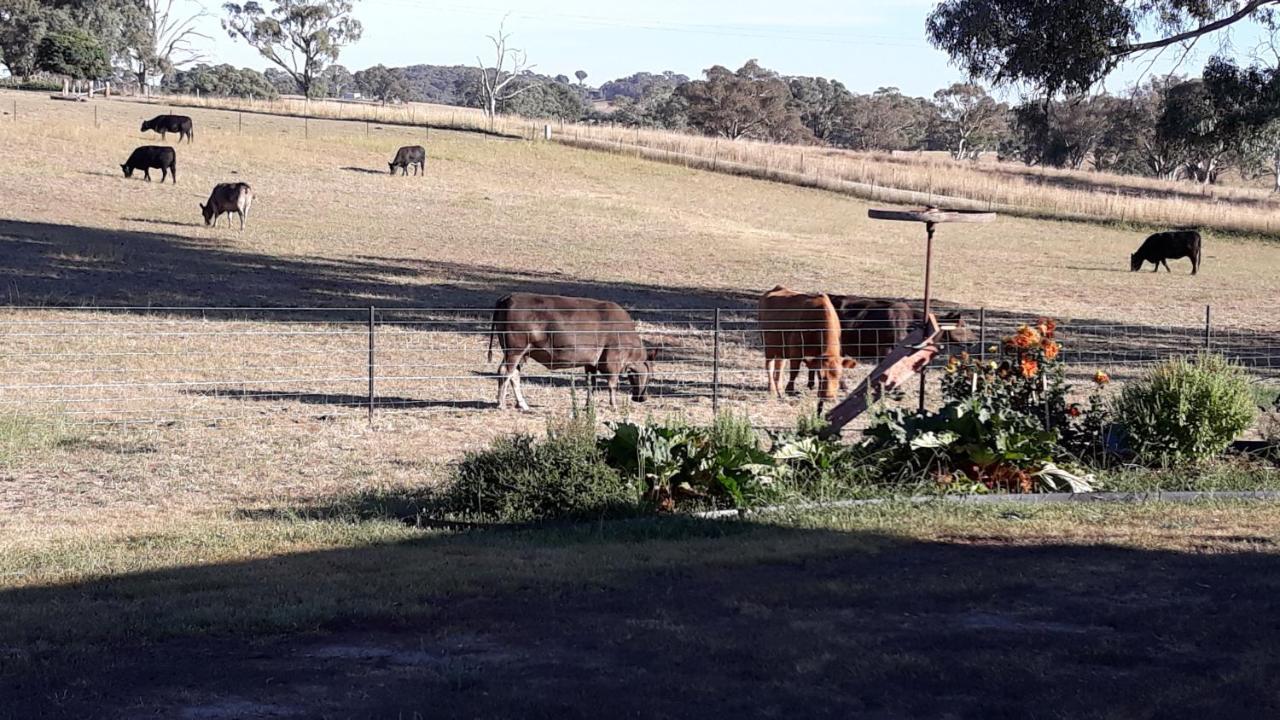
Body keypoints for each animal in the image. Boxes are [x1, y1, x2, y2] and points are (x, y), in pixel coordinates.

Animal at [483, 288, 655, 407]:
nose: (643, 398)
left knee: (513, 375)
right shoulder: (613, 361)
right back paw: (501, 403)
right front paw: (614, 405)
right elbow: (612, 384)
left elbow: (591, 384)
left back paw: (522, 404)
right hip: (515, 351)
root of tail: (508, 297)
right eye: (649, 377)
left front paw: (589, 405)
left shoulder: (591, 363)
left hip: (519, 353)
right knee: (506, 372)